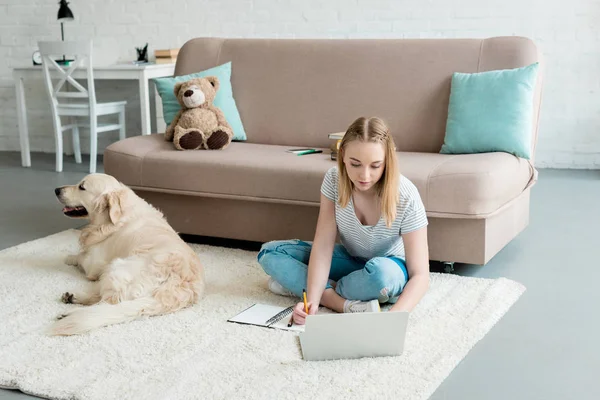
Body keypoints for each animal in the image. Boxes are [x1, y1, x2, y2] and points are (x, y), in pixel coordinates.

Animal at [50, 173, 204, 336]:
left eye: (82, 187)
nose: (56, 190)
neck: (112, 219)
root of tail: (176, 288)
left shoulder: (94, 264)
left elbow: (81, 256)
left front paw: (69, 257)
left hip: (117, 267)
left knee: (107, 303)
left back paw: (70, 312)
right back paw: (71, 298)